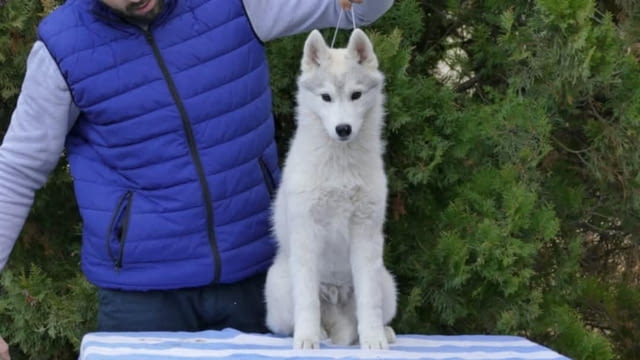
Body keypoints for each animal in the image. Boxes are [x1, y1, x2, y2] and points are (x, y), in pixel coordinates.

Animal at [264, 29, 396, 350]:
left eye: (356, 95)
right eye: (326, 97)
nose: (343, 129)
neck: (340, 166)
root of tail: (335, 299)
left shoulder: (365, 233)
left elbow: (369, 302)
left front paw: (374, 340)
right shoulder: (306, 231)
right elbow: (307, 302)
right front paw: (307, 340)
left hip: (387, 283)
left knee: (361, 319)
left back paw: (381, 332)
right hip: (279, 286)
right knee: (292, 321)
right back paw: (319, 334)